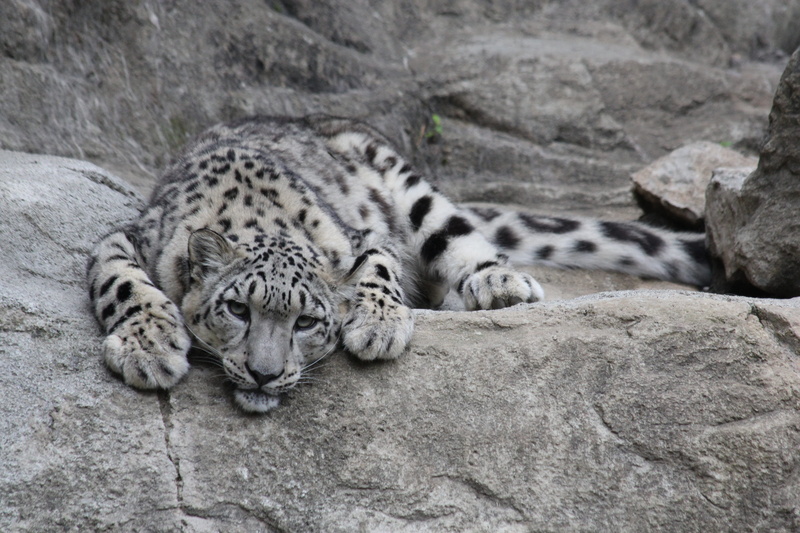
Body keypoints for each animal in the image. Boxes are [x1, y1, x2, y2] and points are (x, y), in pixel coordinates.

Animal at [87, 115, 710, 413]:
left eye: (307, 322)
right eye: (238, 308)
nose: (264, 373)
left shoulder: (364, 237)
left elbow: (378, 268)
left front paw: (379, 326)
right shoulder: (124, 239)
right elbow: (122, 282)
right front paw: (150, 347)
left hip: (412, 188)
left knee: (461, 238)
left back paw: (497, 283)